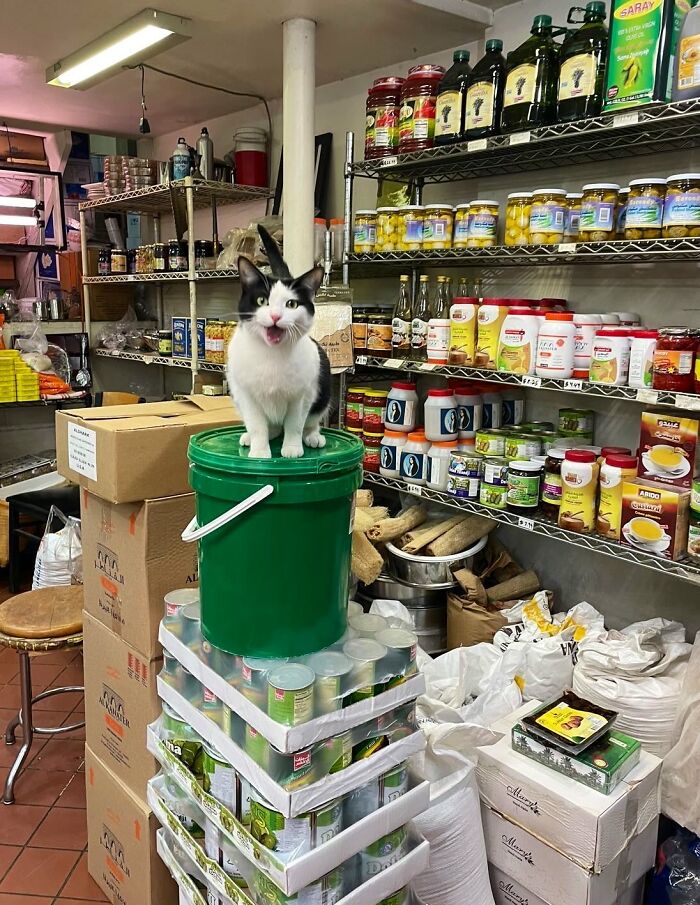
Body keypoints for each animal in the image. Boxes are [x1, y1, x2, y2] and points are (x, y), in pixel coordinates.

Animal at [226, 225, 331, 459]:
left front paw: (292, 448)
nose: (275, 316)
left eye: (291, 304)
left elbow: (294, 424)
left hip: (321, 392)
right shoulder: (246, 394)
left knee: (310, 421)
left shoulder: (301, 395)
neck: (271, 354)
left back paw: (313, 436)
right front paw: (259, 451)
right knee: (270, 426)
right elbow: (257, 425)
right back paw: (254, 436)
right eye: (261, 301)